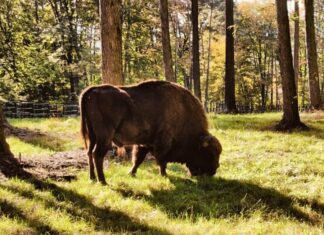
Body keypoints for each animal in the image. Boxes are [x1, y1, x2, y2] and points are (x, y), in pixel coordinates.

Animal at [80, 81, 223, 185]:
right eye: (210, 154)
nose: (214, 170)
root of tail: (92, 90)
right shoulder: (163, 143)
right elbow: (162, 161)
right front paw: (165, 176)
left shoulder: (144, 144)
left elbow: (138, 160)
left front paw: (131, 173)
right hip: (104, 137)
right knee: (97, 155)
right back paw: (103, 181)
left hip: (92, 136)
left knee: (89, 153)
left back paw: (92, 178)